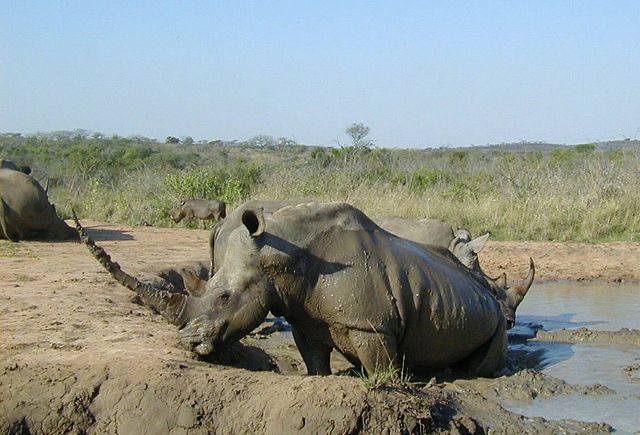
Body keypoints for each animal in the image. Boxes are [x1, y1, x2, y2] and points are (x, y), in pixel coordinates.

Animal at [76, 201, 535, 377]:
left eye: (224, 298)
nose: (188, 342)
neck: (278, 256)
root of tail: (486, 296)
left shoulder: (371, 326)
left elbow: (382, 372)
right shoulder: (304, 318)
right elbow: (315, 362)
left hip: (486, 316)